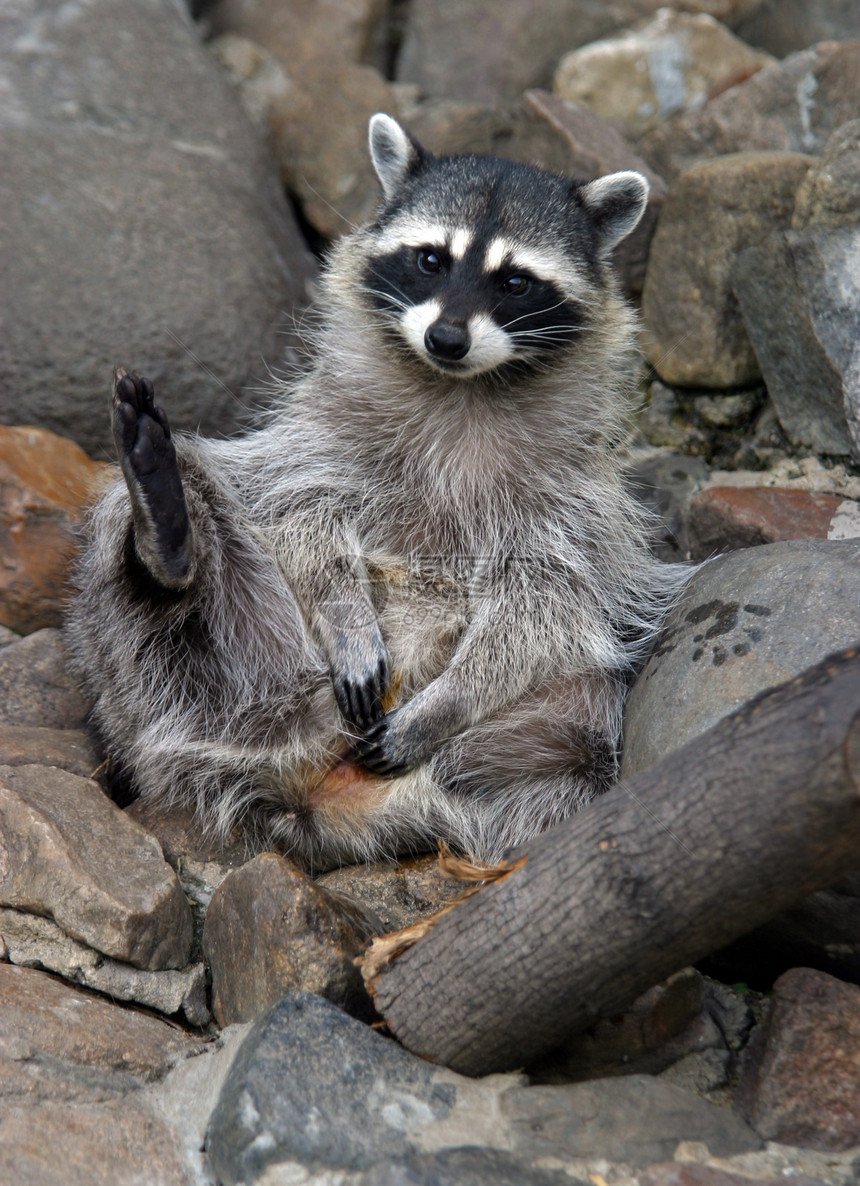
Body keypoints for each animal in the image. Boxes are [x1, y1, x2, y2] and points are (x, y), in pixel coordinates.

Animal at [65, 113, 683, 872]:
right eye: (431, 260)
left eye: (514, 281)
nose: (446, 336)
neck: (459, 387)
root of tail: (302, 778)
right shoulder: (325, 429)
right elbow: (301, 509)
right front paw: (347, 612)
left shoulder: (576, 496)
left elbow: (547, 600)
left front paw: (454, 697)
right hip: (234, 668)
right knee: (175, 534)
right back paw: (166, 535)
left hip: (543, 739)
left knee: (588, 714)